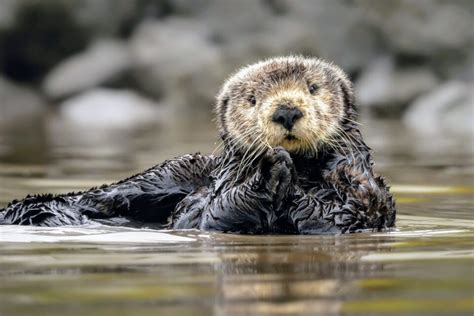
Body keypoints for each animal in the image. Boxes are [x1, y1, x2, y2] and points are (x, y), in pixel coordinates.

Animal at [0, 56, 394, 233]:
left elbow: (338, 216)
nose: (285, 111)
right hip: (174, 169)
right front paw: (270, 170)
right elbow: (213, 213)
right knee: (103, 196)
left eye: (313, 88)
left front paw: (281, 174)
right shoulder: (211, 203)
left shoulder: (361, 190)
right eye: (252, 98)